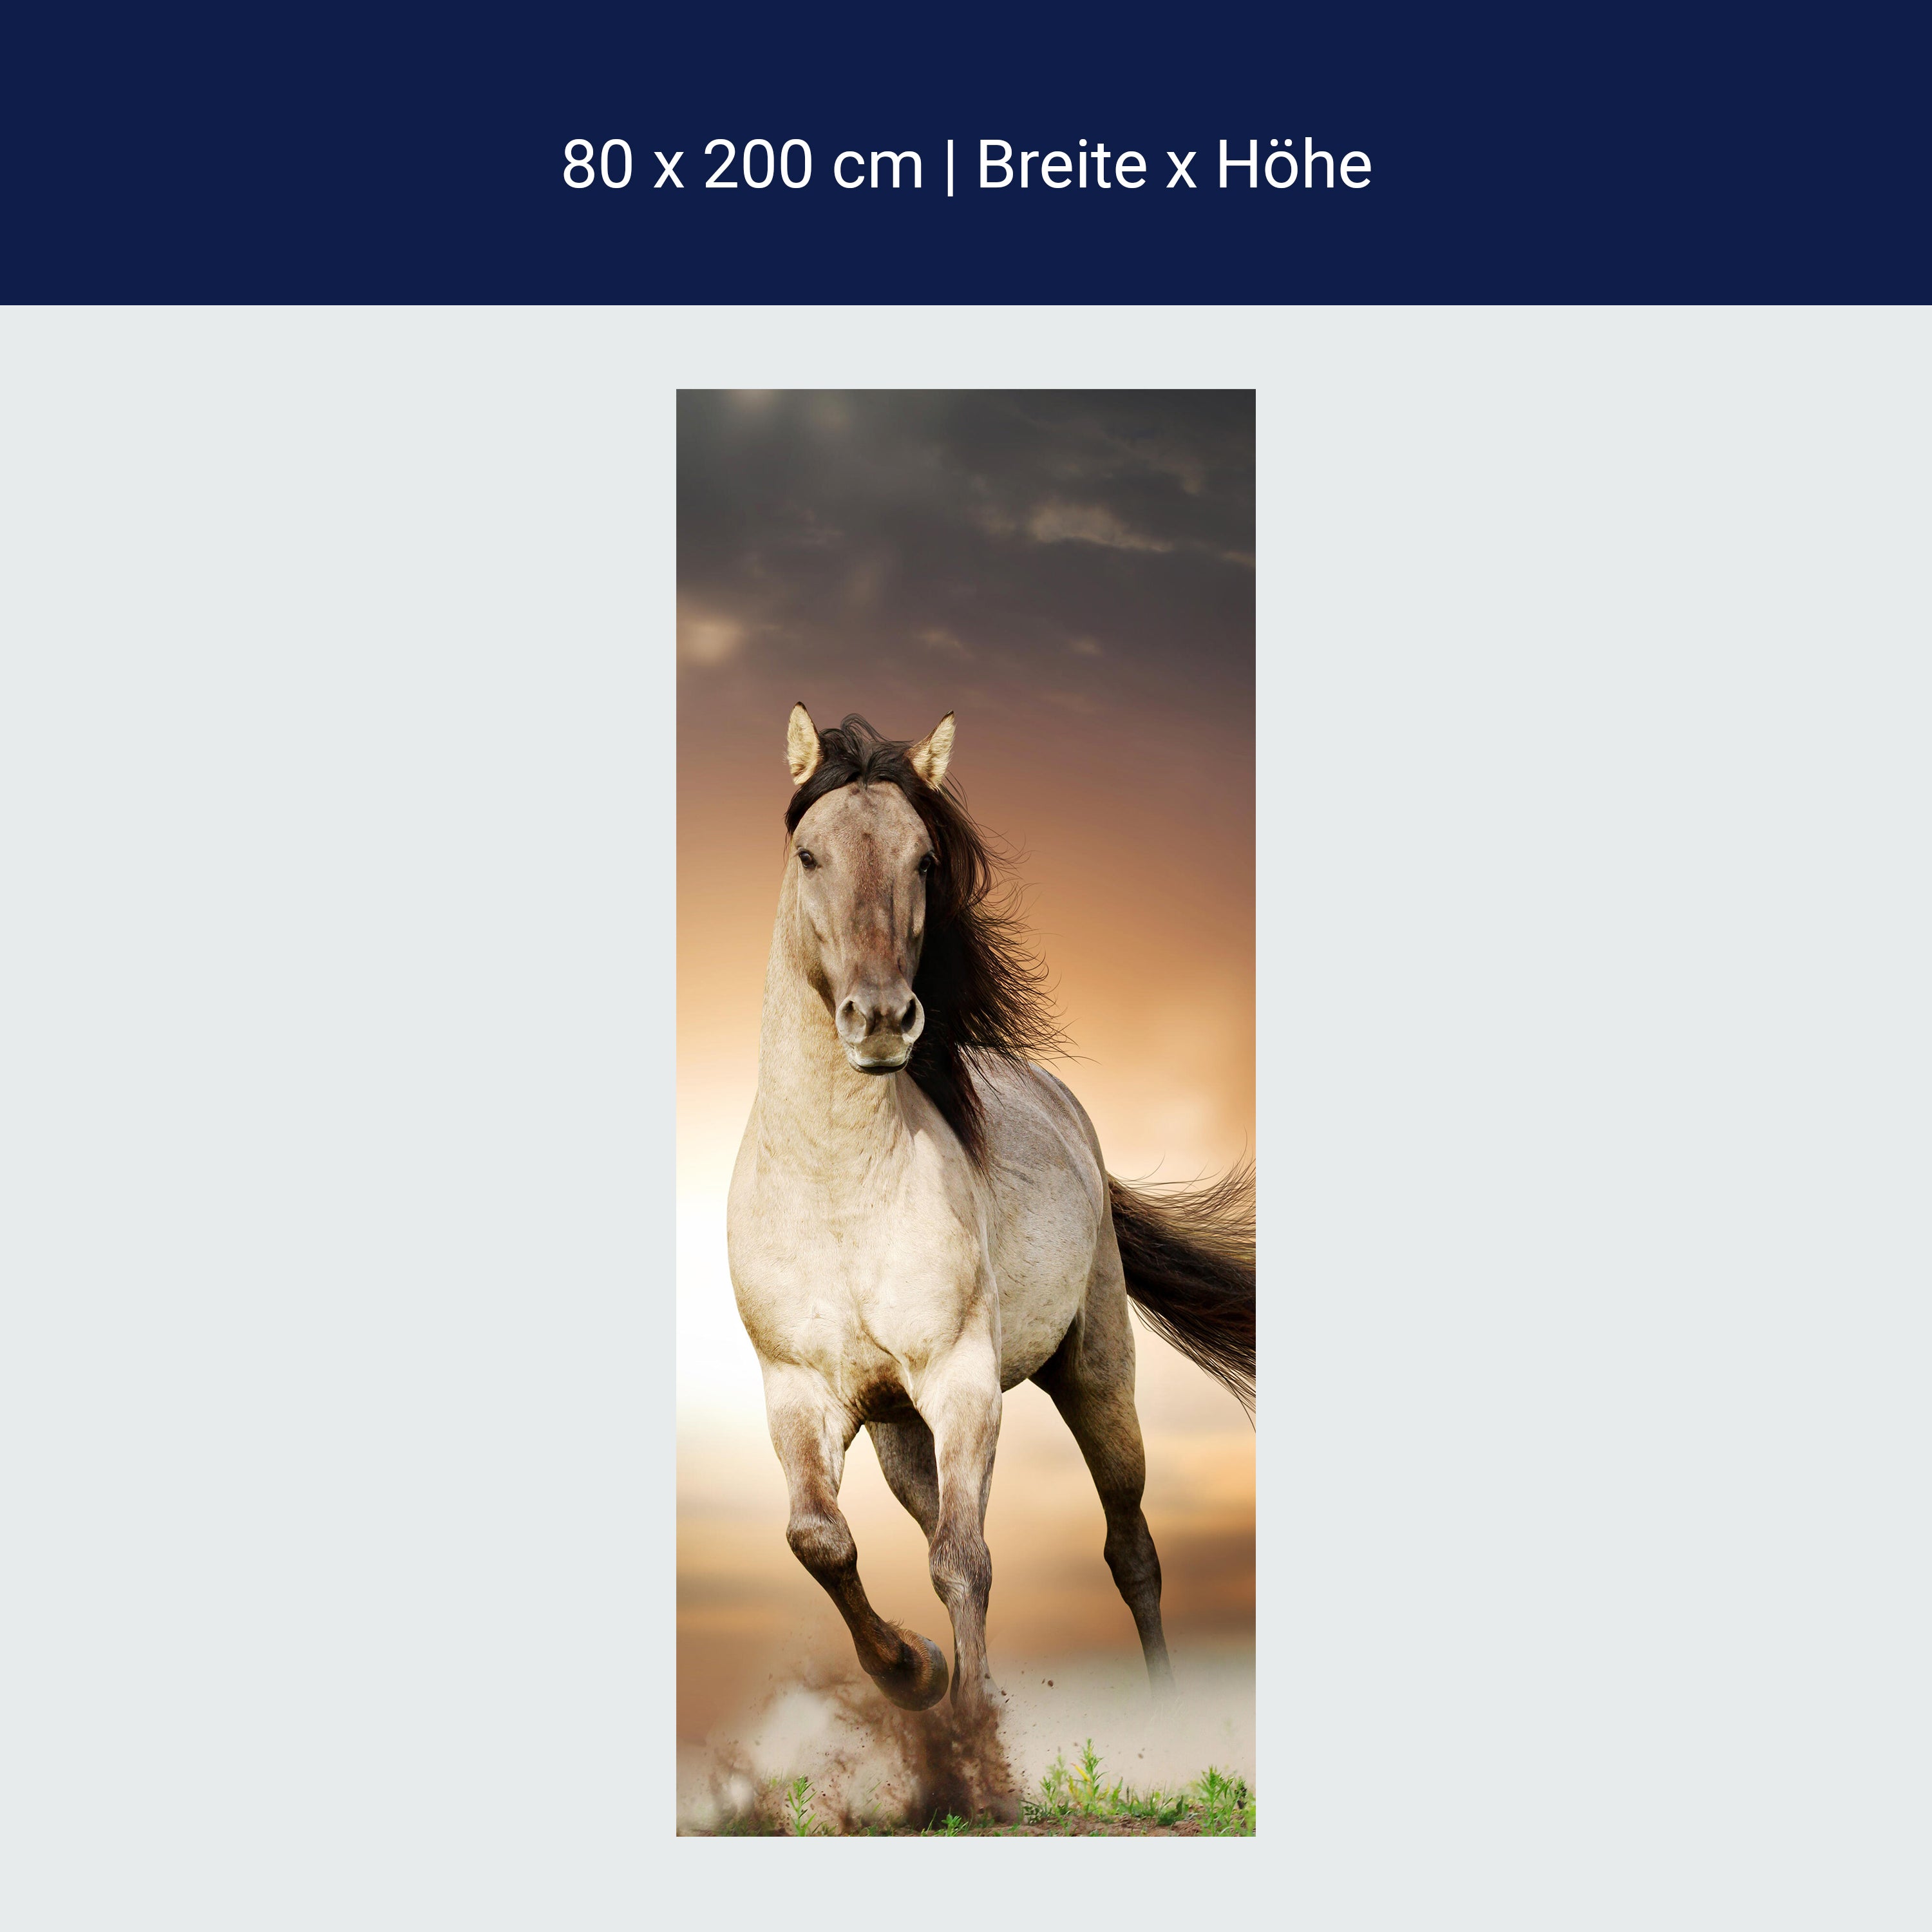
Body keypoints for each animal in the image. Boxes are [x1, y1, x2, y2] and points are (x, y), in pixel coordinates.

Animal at [726, 705, 1254, 1723]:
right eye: (809, 855)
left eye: (925, 859)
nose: (881, 1020)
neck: (837, 1189)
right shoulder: (799, 1392)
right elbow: (821, 1539)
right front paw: (917, 1672)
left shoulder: (962, 1379)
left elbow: (963, 1560)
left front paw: (968, 1728)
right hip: (899, 1430)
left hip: (1096, 1377)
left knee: (1130, 1548)